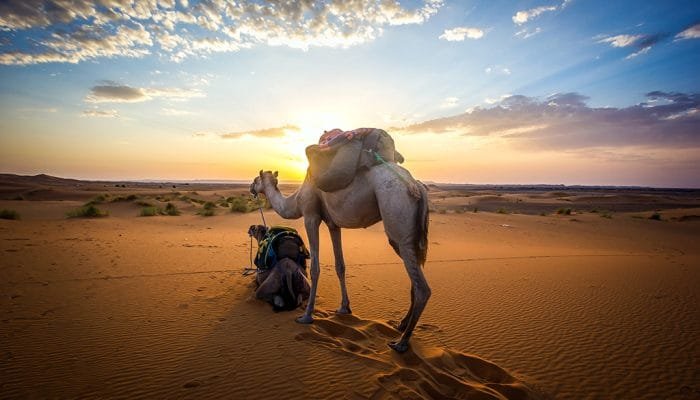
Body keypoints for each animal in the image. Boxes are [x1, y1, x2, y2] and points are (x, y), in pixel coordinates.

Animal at [250, 161, 430, 353]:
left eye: (256, 180)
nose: (251, 188)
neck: (296, 200)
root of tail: (417, 185)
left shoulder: (311, 216)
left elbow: (315, 268)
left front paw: (306, 316)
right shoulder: (332, 224)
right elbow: (340, 265)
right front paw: (344, 308)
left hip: (398, 218)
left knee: (422, 287)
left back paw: (401, 342)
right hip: (409, 236)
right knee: (415, 278)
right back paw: (402, 325)